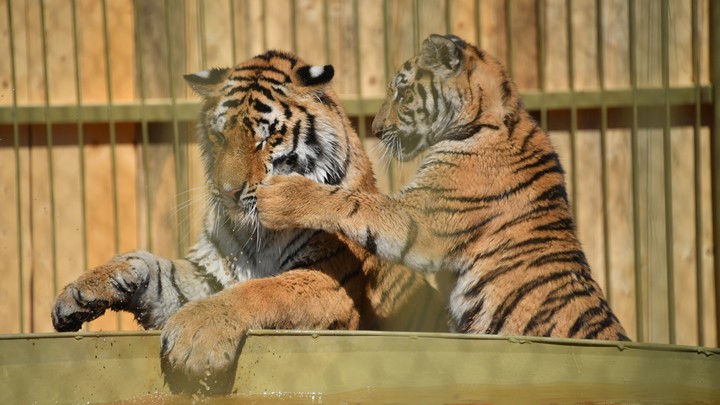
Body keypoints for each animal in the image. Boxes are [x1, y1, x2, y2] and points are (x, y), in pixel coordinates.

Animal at [50, 49, 448, 392]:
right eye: (219, 136)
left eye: (266, 138)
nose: (227, 192)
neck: (259, 235)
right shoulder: (210, 273)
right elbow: (156, 269)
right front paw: (84, 290)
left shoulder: (329, 282)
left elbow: (264, 289)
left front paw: (197, 334)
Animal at [256, 33, 628, 340]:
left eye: (402, 93)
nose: (376, 129)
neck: (491, 118)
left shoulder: (423, 220)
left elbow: (357, 203)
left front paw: (282, 194)